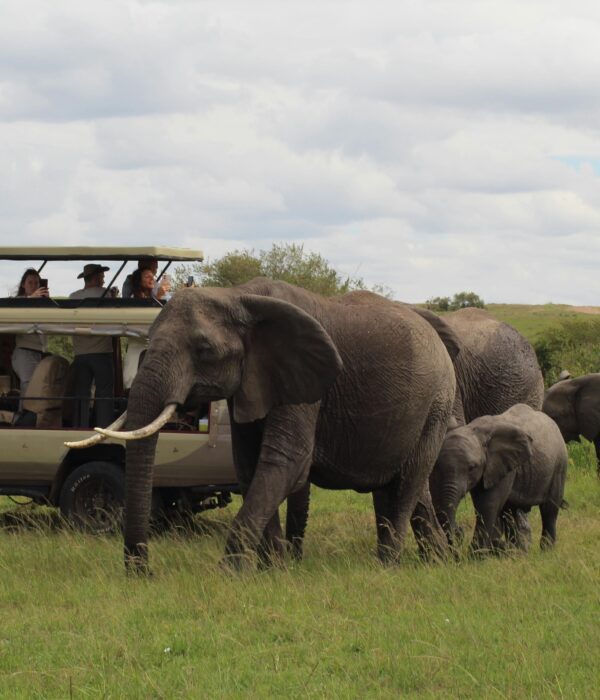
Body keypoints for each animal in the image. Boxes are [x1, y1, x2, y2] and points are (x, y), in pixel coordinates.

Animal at [84, 278, 456, 572]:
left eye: (205, 350)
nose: (144, 572)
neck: (237, 295)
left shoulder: (305, 383)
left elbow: (286, 461)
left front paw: (229, 574)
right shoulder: (253, 382)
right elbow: (249, 465)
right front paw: (272, 570)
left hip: (436, 403)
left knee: (407, 482)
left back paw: (387, 566)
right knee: (407, 485)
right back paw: (437, 563)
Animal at [429, 403, 568, 554]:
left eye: (472, 468)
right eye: (436, 467)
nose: (459, 531)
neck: (475, 430)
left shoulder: (502, 467)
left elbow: (487, 505)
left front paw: (476, 555)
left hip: (559, 466)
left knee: (549, 510)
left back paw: (546, 551)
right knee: (510, 512)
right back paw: (516, 551)